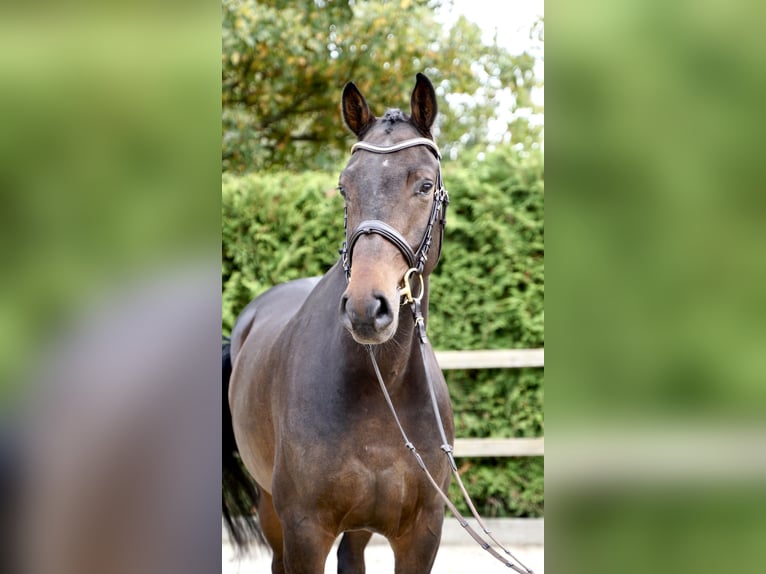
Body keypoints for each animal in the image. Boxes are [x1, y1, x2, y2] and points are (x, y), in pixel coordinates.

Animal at [223, 73, 454, 573]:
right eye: (345, 187)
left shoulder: (421, 535)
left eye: (425, 185)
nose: (367, 309)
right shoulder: (306, 532)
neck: (380, 387)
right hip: (270, 509)